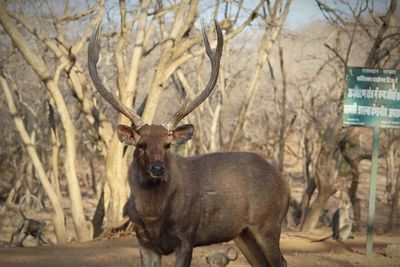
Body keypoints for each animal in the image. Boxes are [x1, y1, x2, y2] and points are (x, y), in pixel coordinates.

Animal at [88, 20, 288, 267]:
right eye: (141, 144)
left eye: (167, 144)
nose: (157, 168)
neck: (154, 217)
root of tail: (285, 183)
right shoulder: (143, 240)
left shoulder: (187, 236)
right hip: (244, 234)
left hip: (269, 224)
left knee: (282, 261)